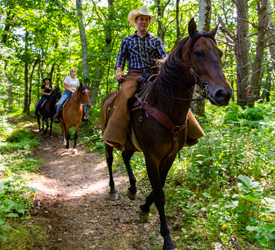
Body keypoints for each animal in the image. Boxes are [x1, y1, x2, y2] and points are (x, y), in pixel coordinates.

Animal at [100, 19, 234, 250]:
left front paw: (144, 208)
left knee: (125, 157)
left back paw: (132, 188)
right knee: (109, 160)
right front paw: (167, 238)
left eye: (220, 53)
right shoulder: (151, 156)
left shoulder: (169, 155)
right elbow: (160, 194)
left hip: (132, 145)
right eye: (198, 53)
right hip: (109, 139)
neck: (163, 103)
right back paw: (113, 189)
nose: (223, 94)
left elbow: (159, 187)